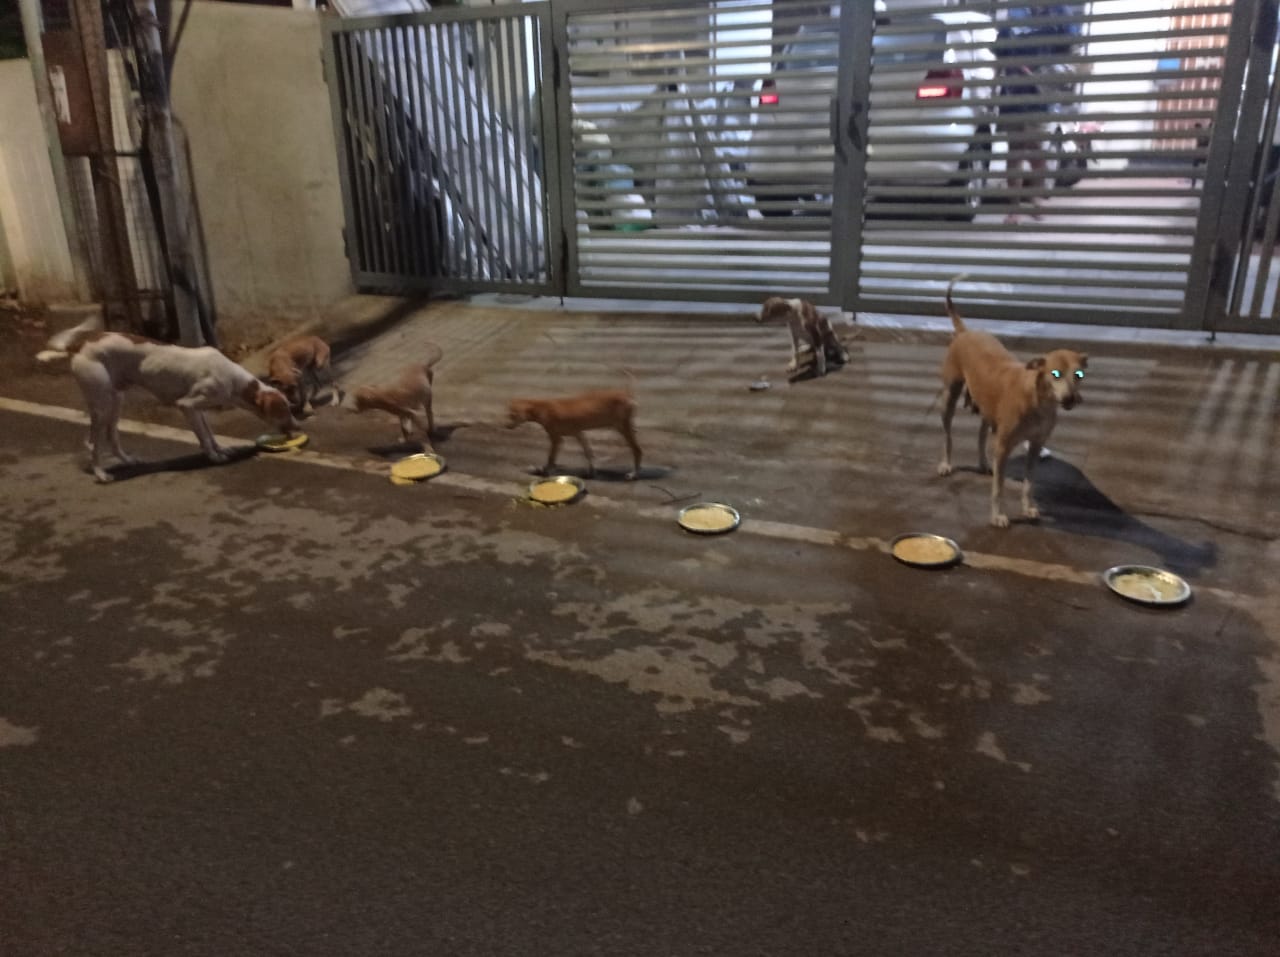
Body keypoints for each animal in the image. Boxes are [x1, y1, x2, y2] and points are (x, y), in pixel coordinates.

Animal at [58, 330, 295, 481]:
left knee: (111, 436)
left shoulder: (199, 410)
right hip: (101, 405)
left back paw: (128, 461)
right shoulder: (187, 405)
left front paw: (219, 448)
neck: (235, 381)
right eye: (283, 411)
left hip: (116, 400)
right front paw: (214, 457)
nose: (297, 426)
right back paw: (101, 474)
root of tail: (79, 344)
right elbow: (204, 438)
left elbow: (209, 434)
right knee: (93, 443)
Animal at [506, 383, 645, 478]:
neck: (541, 408)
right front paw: (592, 471)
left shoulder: (556, 439)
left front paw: (545, 471)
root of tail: (628, 395)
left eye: (512, 415)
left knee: (637, 450)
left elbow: (551, 458)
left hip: (622, 428)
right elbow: (588, 452)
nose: (506, 426)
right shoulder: (578, 433)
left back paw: (634, 474)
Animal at [931, 276, 1090, 527]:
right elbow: (999, 487)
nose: (1070, 399)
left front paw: (1028, 508)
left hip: (987, 407)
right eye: (1055, 374)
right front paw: (998, 516)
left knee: (981, 433)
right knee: (947, 434)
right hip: (950, 397)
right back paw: (946, 464)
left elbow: (1028, 484)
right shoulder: (1004, 447)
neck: (1037, 402)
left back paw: (983, 462)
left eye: (1079, 374)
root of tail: (966, 332)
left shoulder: (1035, 445)